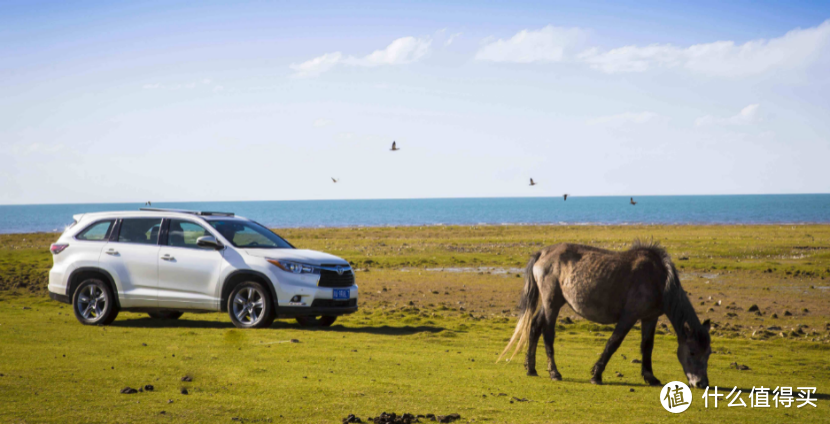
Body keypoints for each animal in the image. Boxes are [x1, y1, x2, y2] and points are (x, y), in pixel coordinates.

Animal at [500, 240, 716, 386]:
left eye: (708, 353)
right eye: (692, 351)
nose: (701, 383)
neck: (659, 280)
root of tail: (543, 253)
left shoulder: (650, 318)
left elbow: (647, 346)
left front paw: (650, 377)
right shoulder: (629, 316)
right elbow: (613, 342)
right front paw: (596, 375)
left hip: (550, 304)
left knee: (534, 327)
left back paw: (531, 368)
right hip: (551, 303)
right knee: (547, 334)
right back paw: (554, 372)